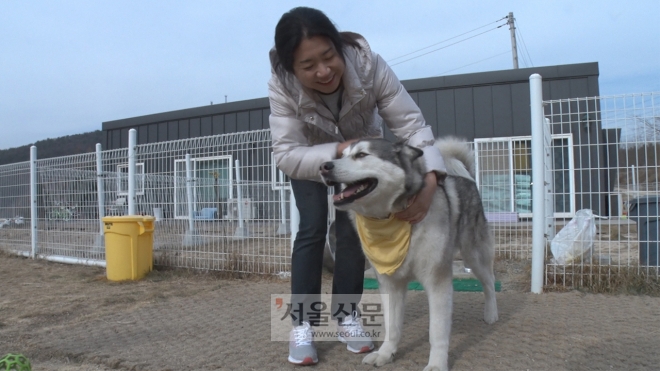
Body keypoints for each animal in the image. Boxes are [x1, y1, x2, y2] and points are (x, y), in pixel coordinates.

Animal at [318, 138, 496, 371]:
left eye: (362, 155)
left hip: (473, 254)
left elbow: (437, 331)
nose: (323, 166)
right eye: (342, 155)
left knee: (489, 281)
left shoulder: (437, 281)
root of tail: (466, 178)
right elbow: (392, 326)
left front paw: (437, 363)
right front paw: (385, 353)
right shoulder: (389, 283)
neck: (393, 217)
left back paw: (491, 314)